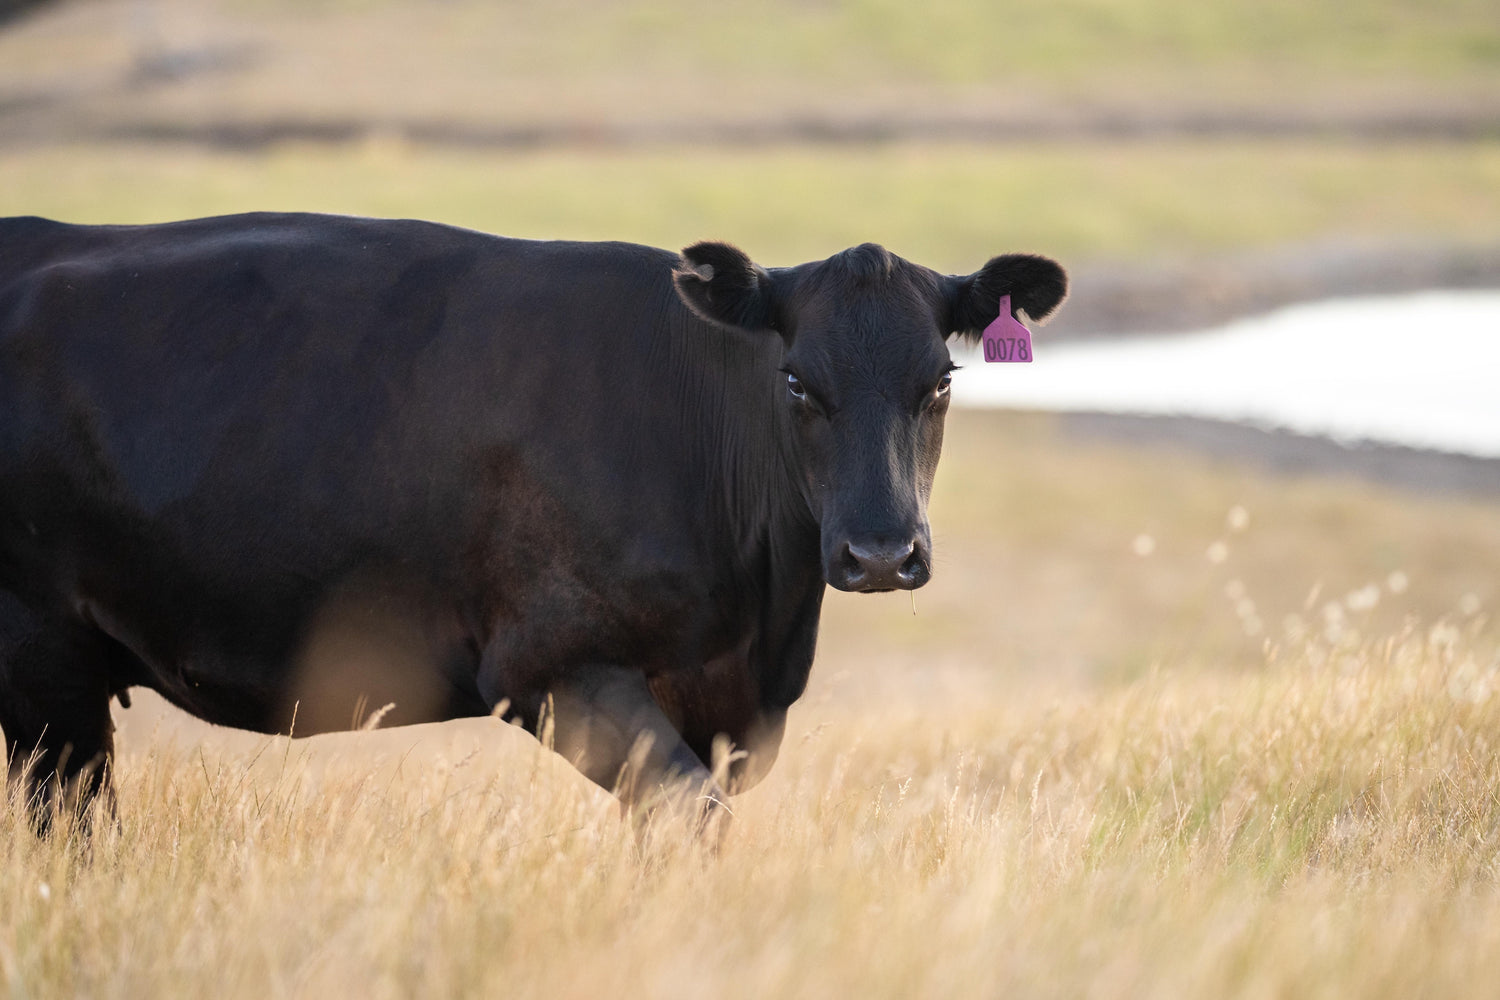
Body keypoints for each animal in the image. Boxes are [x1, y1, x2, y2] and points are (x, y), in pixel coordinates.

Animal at [0, 215, 1062, 833]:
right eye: (798, 382)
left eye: (942, 381)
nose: (882, 553)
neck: (761, 622)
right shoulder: (555, 665)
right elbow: (690, 815)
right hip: (43, 661)